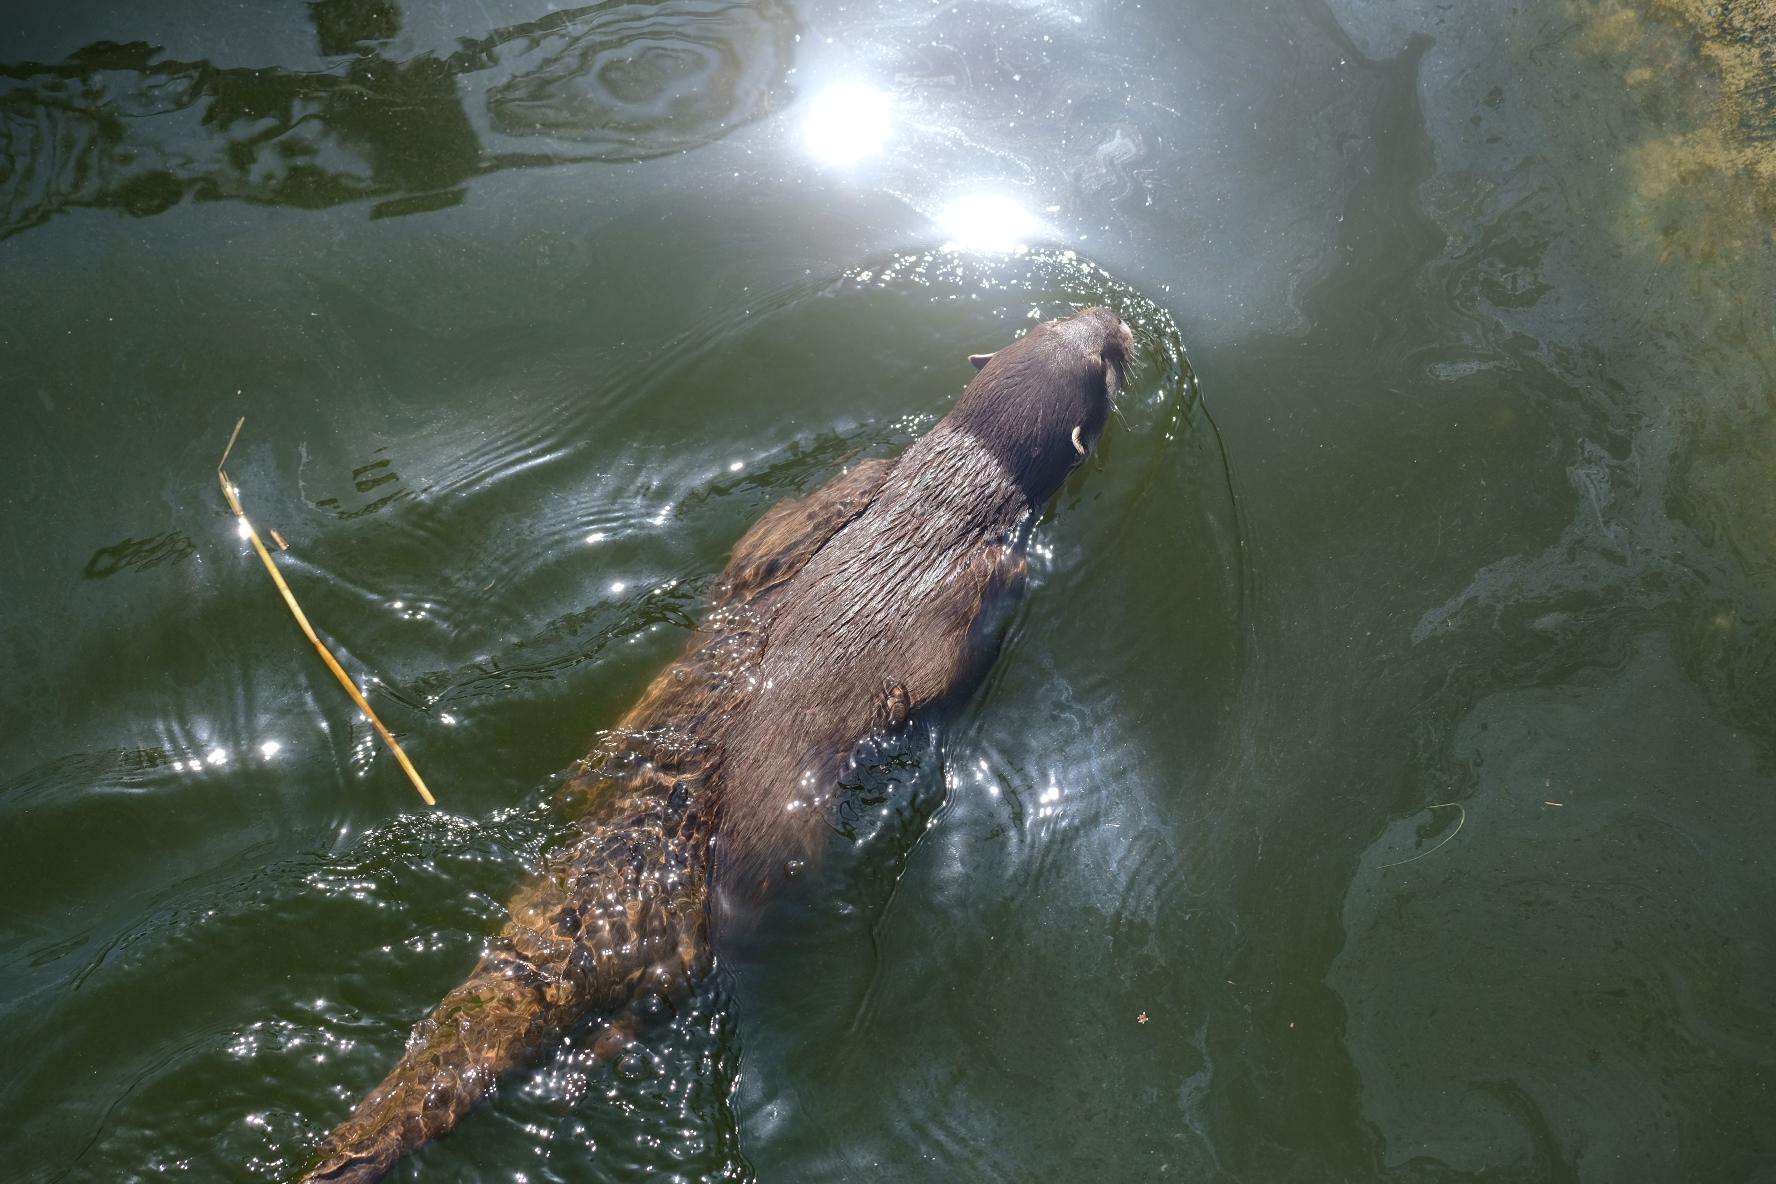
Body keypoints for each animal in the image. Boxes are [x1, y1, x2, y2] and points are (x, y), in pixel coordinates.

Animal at [301, 306, 1136, 1182]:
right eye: (1106, 357)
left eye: (1063, 323)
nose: (1111, 316)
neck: (942, 497)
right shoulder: (997, 575)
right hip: (767, 863)